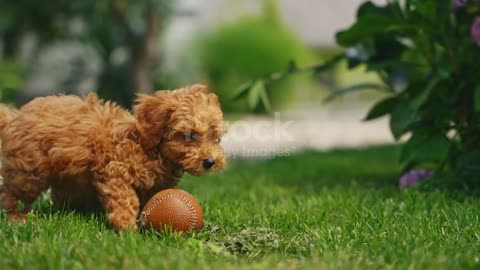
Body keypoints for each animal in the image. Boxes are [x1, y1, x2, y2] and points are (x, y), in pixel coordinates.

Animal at [0, 84, 227, 230]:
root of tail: (13, 118)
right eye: (191, 135)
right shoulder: (115, 170)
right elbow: (125, 197)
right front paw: (126, 226)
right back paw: (17, 219)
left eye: (216, 137)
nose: (210, 162)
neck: (148, 147)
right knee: (11, 194)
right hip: (29, 170)